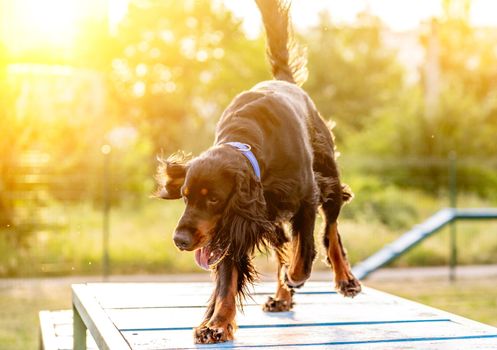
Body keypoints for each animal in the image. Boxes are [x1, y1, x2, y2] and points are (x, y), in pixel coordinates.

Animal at [155, 0, 360, 344]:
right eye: (184, 196)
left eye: (213, 199)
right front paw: (216, 324)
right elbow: (228, 279)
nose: (179, 239)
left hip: (327, 176)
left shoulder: (304, 199)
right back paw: (281, 297)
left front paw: (295, 276)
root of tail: (286, 81)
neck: (249, 145)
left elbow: (304, 252)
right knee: (284, 246)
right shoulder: (236, 222)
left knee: (330, 230)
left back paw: (344, 279)